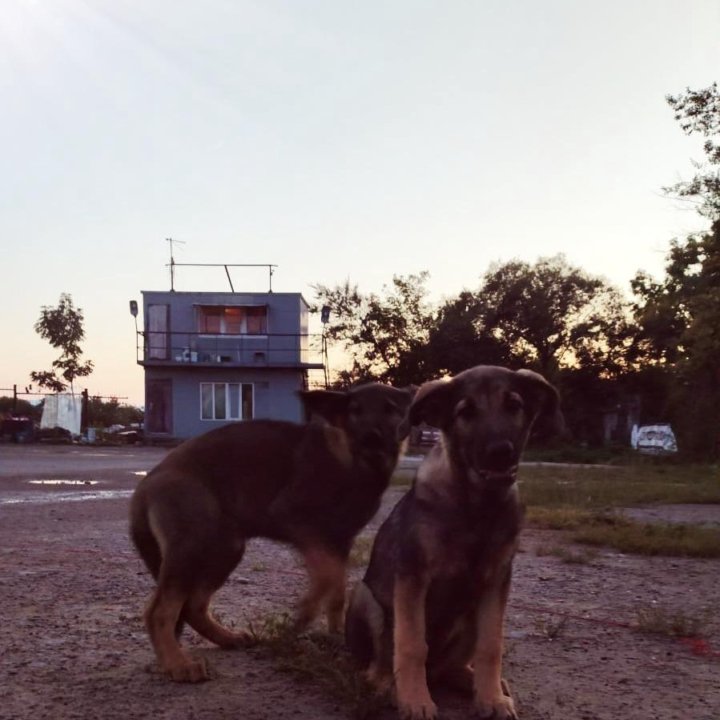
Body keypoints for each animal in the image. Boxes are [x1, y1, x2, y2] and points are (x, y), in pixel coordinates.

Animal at [129, 382, 410, 680]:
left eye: (390, 408)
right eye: (355, 410)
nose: (371, 438)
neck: (352, 461)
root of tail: (144, 488)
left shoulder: (340, 542)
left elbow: (336, 592)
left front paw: (336, 635)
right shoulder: (300, 524)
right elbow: (326, 580)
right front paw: (300, 619)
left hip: (225, 549)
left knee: (194, 606)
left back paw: (225, 639)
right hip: (191, 547)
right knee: (159, 611)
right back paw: (178, 664)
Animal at [344, 368, 564, 716]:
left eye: (514, 405)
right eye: (465, 412)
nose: (500, 452)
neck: (476, 504)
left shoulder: (496, 581)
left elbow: (491, 645)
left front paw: (491, 699)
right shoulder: (413, 577)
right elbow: (411, 644)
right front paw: (415, 700)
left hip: (469, 613)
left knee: (451, 667)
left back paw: (476, 682)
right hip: (366, 598)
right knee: (378, 662)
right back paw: (386, 685)